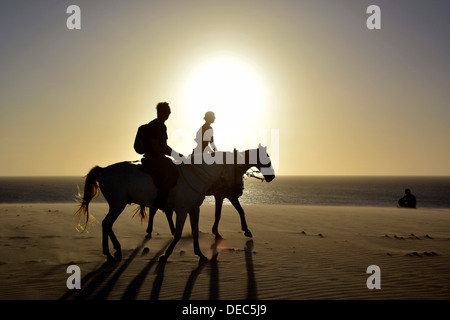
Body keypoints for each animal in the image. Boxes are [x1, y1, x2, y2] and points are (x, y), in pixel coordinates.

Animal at [145, 150, 274, 240]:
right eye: (267, 159)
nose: (271, 177)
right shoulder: (227, 196)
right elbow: (237, 211)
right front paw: (246, 230)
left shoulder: (222, 196)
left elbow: (221, 213)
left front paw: (216, 231)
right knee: (154, 210)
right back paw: (150, 231)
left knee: (165, 211)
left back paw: (171, 230)